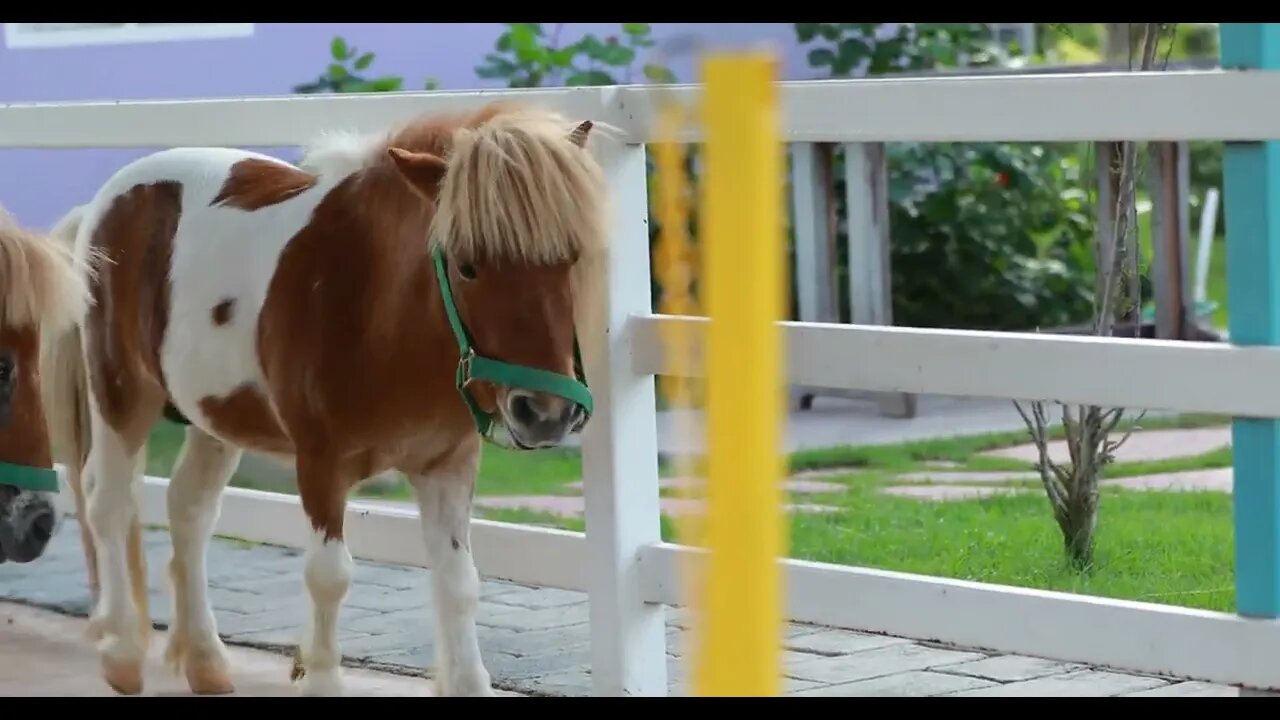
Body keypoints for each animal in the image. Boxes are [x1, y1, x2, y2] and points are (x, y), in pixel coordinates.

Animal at [42, 102, 611, 696]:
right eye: (467, 264)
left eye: (571, 257)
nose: (544, 414)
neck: (375, 305)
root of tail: (102, 203)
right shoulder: (320, 463)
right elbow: (329, 576)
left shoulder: (448, 465)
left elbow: (459, 583)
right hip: (120, 391)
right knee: (108, 502)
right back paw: (123, 654)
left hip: (215, 416)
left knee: (189, 508)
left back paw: (206, 660)